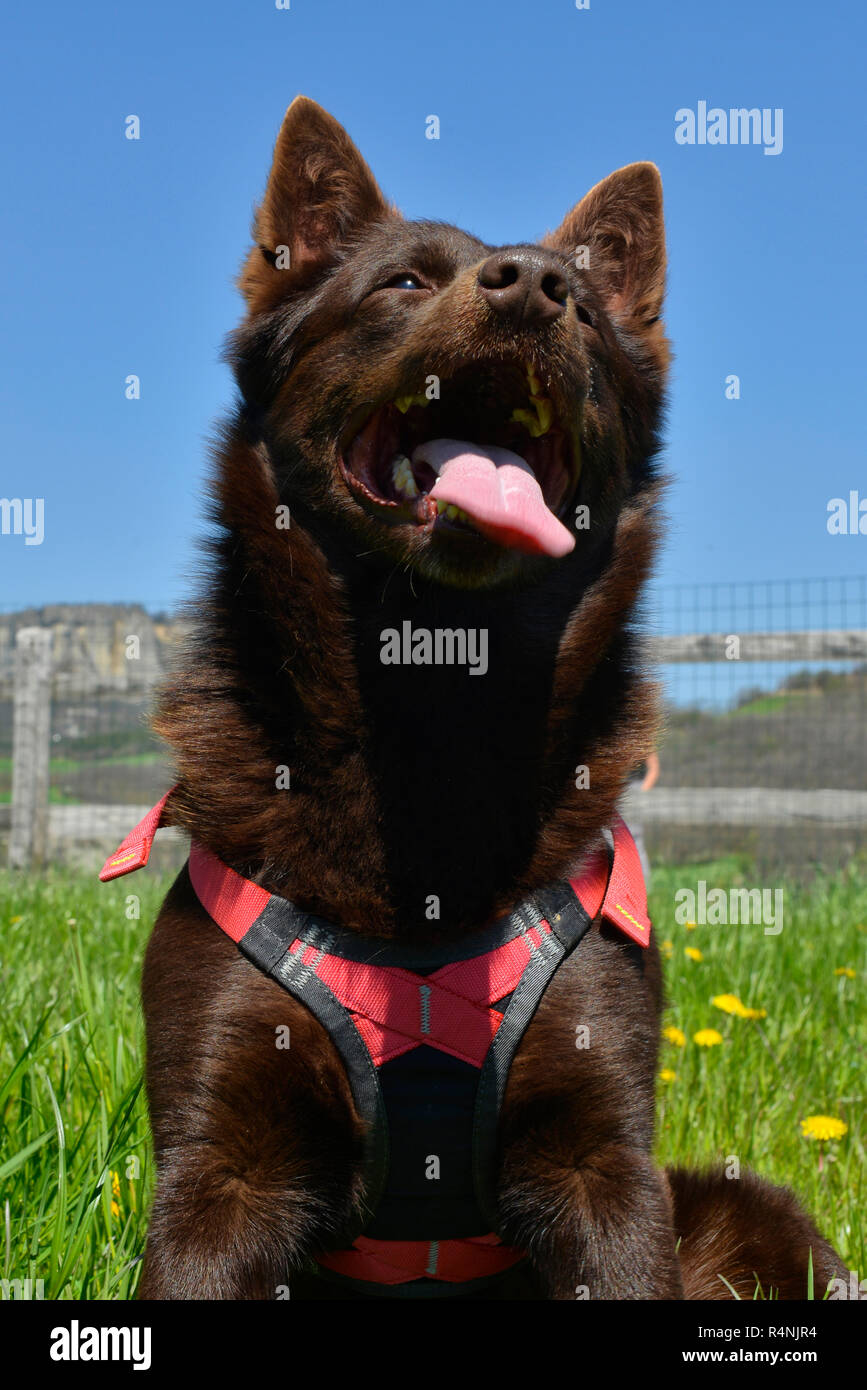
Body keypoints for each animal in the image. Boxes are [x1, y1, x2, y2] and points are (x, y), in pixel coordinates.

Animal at [128, 97, 844, 1301]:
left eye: (589, 315)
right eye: (404, 283)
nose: (533, 288)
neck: (434, 711)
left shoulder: (605, 1163)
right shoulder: (220, 1166)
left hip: (755, 1212)